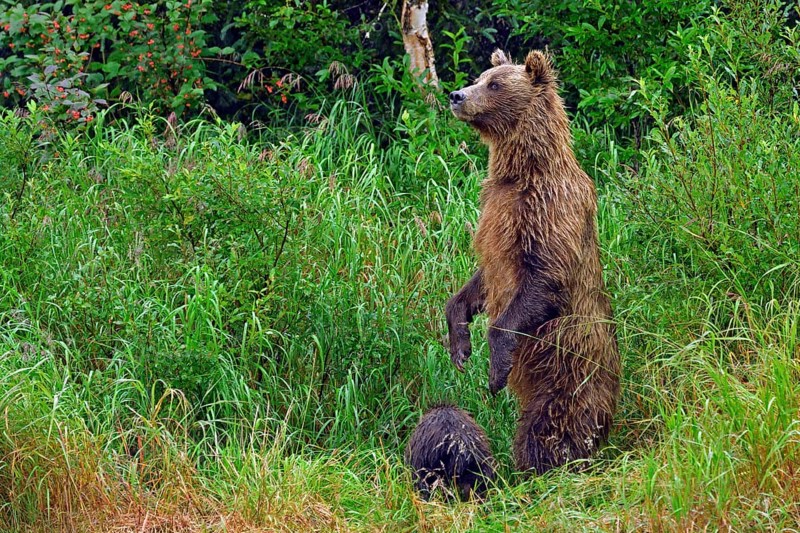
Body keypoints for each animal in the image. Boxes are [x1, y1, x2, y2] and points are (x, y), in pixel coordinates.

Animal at [444, 49, 621, 475]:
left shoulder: (548, 211)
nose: (457, 95)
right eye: (480, 76)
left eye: (495, 84)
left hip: (568, 373)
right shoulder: (496, 217)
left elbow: (544, 278)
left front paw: (495, 372)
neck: (522, 170)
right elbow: (478, 282)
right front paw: (460, 346)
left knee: (548, 429)